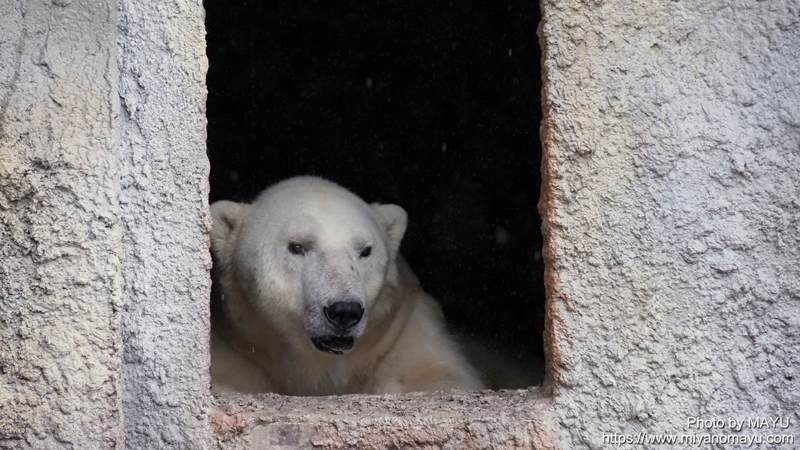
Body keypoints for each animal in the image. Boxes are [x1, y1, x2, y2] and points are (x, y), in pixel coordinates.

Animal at [209, 176, 484, 395]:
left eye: (365, 250)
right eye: (296, 246)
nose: (344, 311)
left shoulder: (401, 329)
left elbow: (440, 374)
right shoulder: (236, 343)